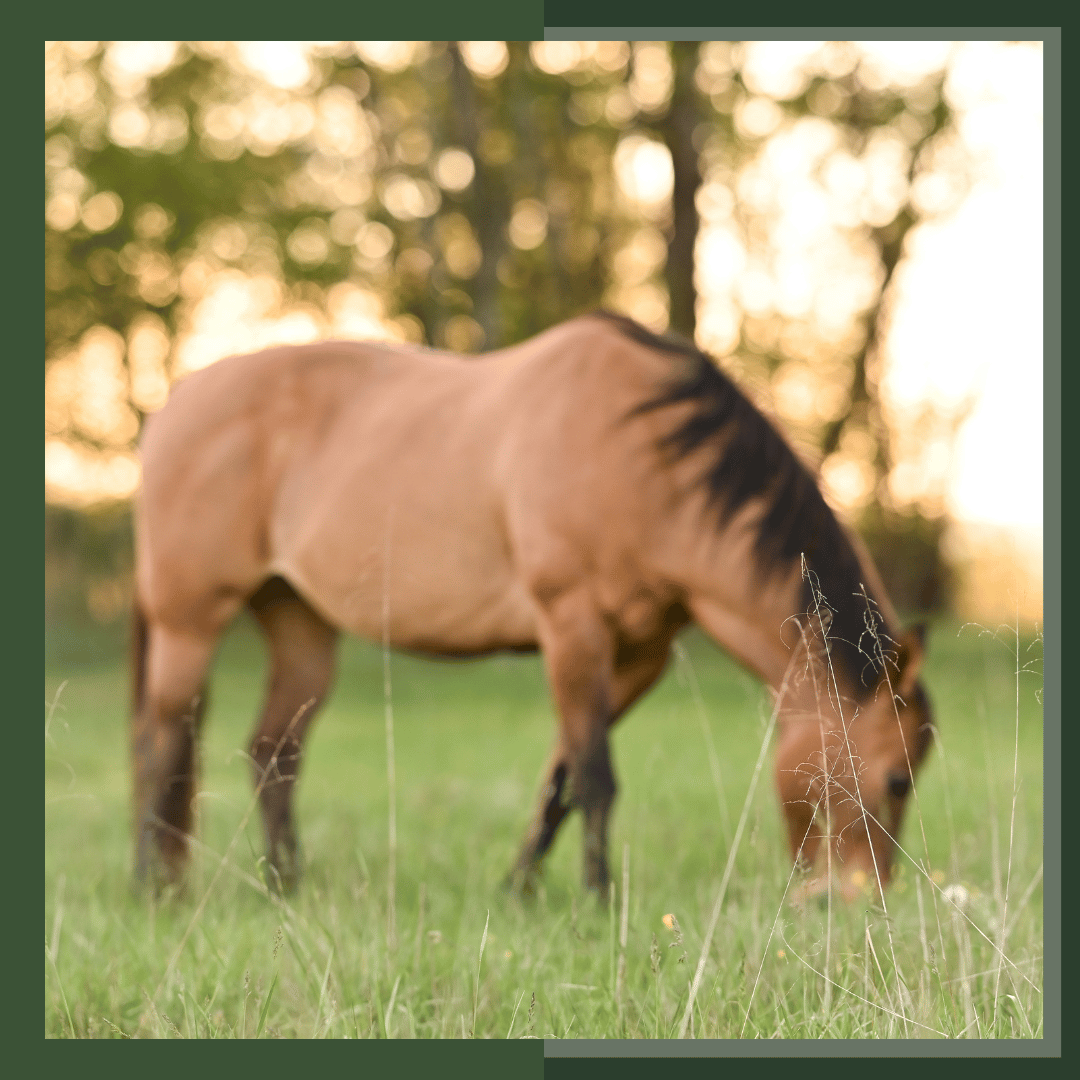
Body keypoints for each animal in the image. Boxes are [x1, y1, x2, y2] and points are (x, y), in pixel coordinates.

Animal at [130, 311, 933, 902]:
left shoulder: (637, 654)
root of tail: (171, 407)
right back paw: (156, 888)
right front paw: (598, 898)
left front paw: (519, 890)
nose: (860, 898)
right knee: (163, 740)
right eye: (895, 778)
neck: (646, 457)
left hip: (298, 622)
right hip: (188, 621)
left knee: (274, 753)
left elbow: (561, 781)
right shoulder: (571, 626)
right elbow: (595, 776)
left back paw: (286, 885)